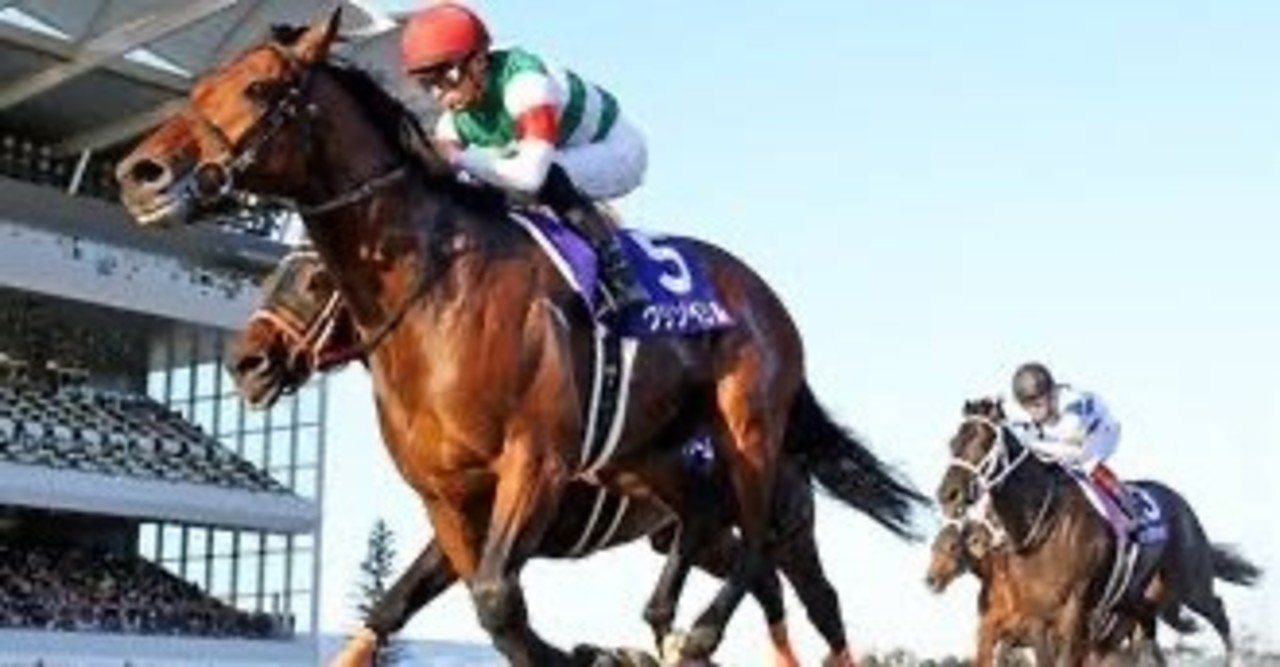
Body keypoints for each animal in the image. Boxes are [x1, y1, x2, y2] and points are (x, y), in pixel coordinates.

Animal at [232, 250, 870, 667]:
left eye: (315, 279)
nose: (247, 362)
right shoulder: (463, 522)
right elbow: (394, 605)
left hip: (786, 522)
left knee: (818, 598)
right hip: (695, 534)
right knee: (761, 580)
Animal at [935, 399, 1260, 666]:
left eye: (983, 440)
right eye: (953, 443)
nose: (947, 494)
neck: (1044, 525)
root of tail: (1180, 503)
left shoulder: (1072, 612)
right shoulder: (1034, 619)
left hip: (1191, 584)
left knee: (1218, 611)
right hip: (1136, 599)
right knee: (1150, 630)